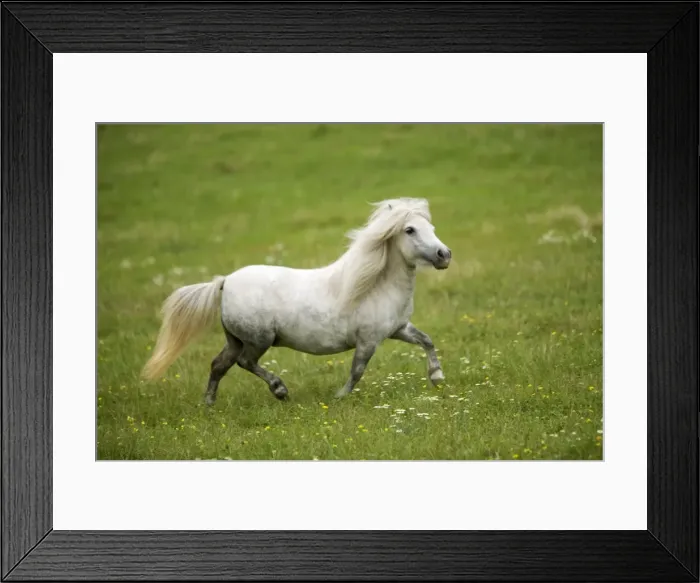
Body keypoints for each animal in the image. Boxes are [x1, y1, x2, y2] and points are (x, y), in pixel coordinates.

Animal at [142, 197, 452, 405]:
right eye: (410, 230)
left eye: (432, 226)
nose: (444, 255)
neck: (376, 286)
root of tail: (225, 281)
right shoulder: (368, 340)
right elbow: (357, 371)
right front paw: (339, 397)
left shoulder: (399, 329)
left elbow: (427, 340)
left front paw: (437, 377)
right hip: (259, 339)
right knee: (244, 362)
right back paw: (280, 390)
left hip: (236, 339)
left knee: (219, 364)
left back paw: (209, 404)